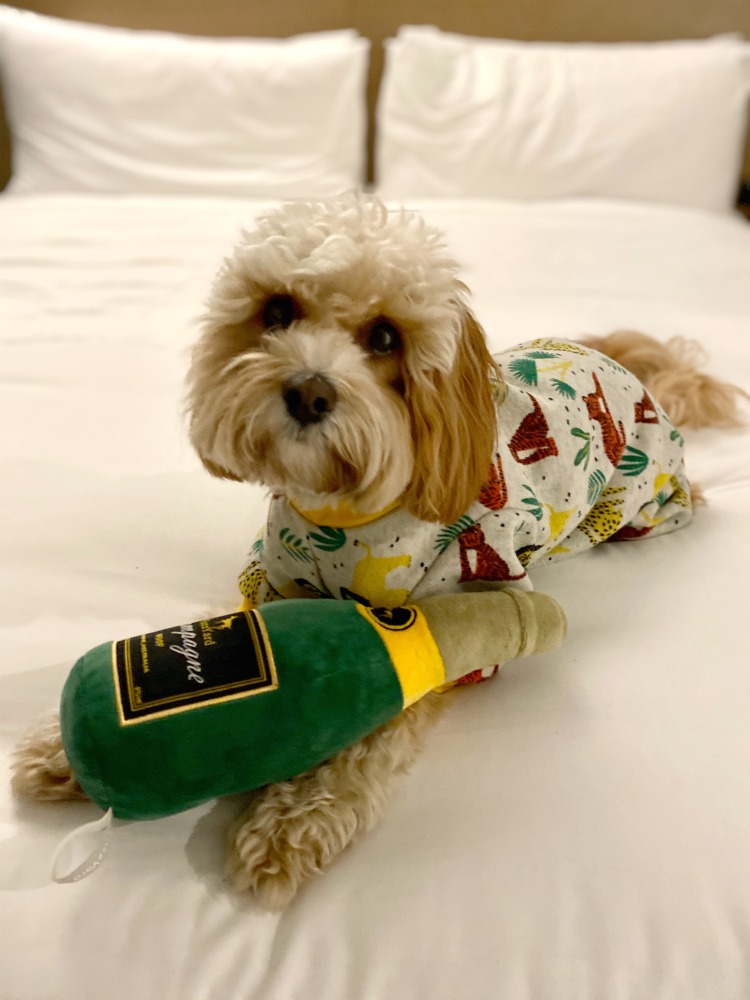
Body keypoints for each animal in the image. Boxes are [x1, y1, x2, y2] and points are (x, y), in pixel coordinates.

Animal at [14, 191, 748, 912]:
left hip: (643, 505)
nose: (308, 392)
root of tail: (626, 368)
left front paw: (291, 821)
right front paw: (65, 748)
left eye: (386, 337)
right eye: (276, 311)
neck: (339, 516)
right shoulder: (272, 582)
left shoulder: (451, 616)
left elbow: (373, 731)